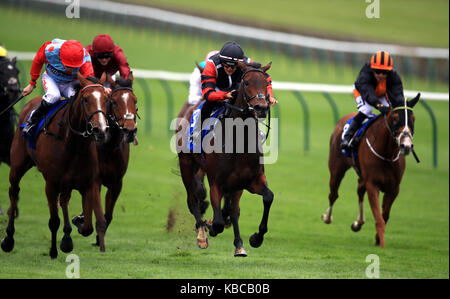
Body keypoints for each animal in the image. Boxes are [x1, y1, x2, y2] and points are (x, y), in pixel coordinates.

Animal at [1, 73, 110, 260]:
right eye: (86, 99)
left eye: (106, 99)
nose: (100, 129)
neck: (73, 143)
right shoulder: (51, 183)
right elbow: (53, 221)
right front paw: (53, 251)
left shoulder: (88, 182)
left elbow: (89, 227)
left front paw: (75, 226)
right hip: (17, 166)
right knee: (13, 192)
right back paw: (8, 239)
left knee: (64, 200)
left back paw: (67, 236)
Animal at [71, 73, 138, 246]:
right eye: (113, 101)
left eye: (135, 101)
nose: (130, 130)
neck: (108, 146)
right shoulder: (96, 179)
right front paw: (80, 220)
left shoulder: (116, 183)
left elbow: (107, 215)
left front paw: (97, 237)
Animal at [178, 61, 272, 258]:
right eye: (247, 82)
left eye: (266, 82)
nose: (261, 107)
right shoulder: (216, 183)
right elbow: (218, 222)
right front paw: (211, 226)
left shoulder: (250, 180)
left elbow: (267, 197)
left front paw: (255, 238)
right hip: (186, 164)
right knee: (192, 200)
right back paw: (202, 235)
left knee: (232, 210)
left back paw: (238, 245)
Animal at [322, 94, 420, 248]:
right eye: (395, 118)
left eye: (413, 118)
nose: (406, 145)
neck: (387, 154)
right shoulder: (373, 185)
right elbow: (379, 218)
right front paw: (382, 244)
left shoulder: (393, 188)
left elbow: (385, 215)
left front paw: (377, 238)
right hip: (336, 169)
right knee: (333, 194)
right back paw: (327, 217)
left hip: (362, 177)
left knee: (359, 191)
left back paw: (358, 223)